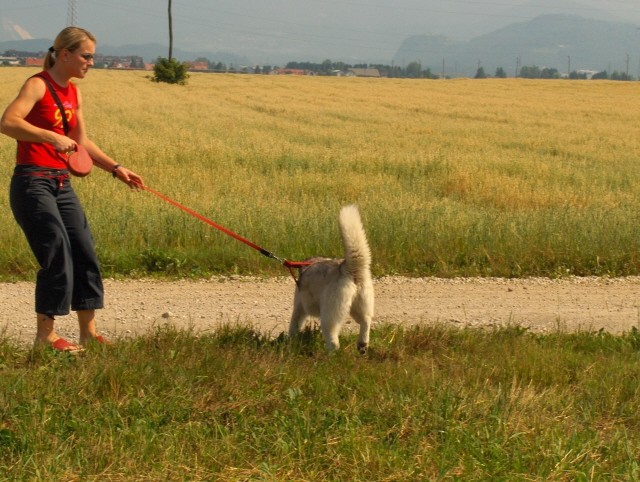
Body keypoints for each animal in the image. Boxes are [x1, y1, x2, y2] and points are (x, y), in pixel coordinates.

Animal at [288, 205, 372, 352]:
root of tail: (348, 269)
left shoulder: (299, 306)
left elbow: (294, 323)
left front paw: (291, 339)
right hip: (359, 307)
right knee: (366, 321)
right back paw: (362, 344)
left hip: (330, 314)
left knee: (333, 339)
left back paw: (330, 352)